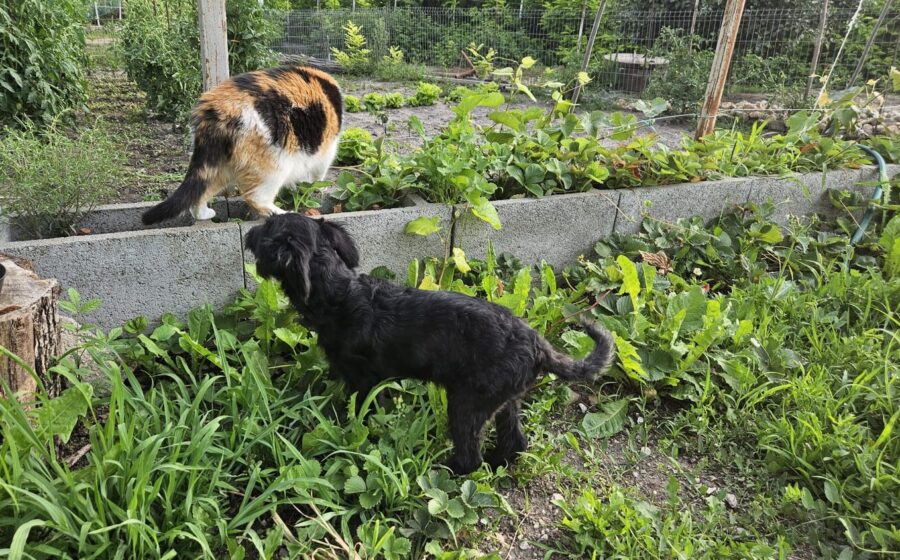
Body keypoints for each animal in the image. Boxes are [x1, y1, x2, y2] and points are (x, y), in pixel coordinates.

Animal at [142, 65, 342, 225]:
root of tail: (217, 109)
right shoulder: (326, 151)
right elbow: (317, 175)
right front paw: (316, 188)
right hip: (274, 165)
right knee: (255, 197)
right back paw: (280, 213)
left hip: (219, 167)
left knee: (199, 195)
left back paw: (204, 214)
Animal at [244, 213, 615, 474]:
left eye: (267, 229)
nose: (248, 232)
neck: (340, 294)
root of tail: (539, 345)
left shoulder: (363, 381)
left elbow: (362, 411)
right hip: (505, 399)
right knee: (516, 441)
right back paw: (498, 465)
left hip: (466, 404)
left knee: (470, 456)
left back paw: (447, 472)